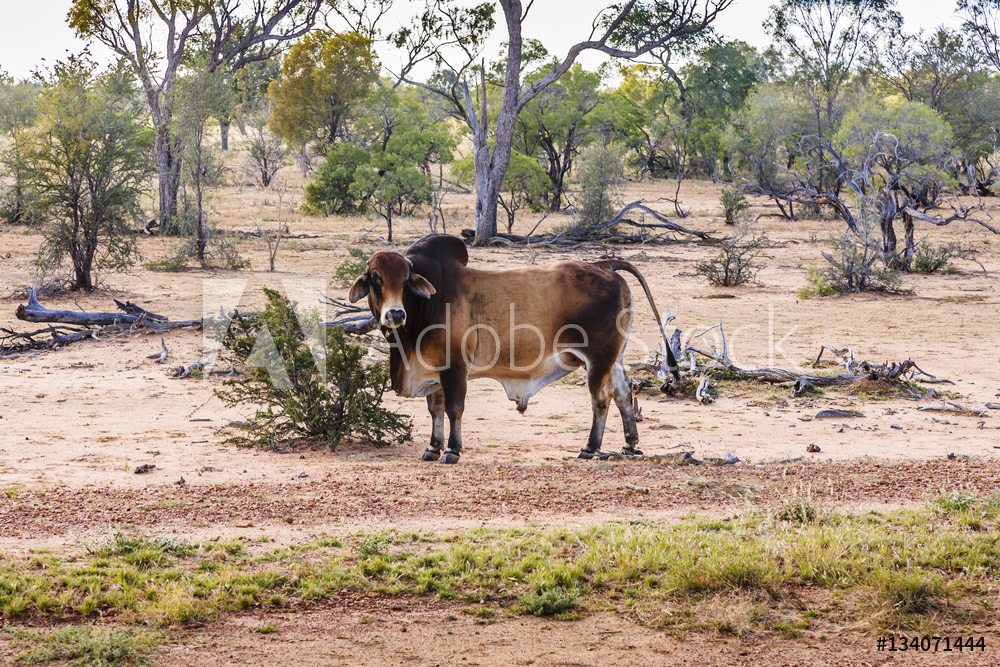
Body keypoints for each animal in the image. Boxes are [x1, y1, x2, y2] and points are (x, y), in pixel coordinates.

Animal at [349, 234, 680, 463]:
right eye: (376, 278)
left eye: (405, 280)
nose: (395, 313)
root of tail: (603, 265)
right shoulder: (434, 369)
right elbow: (436, 409)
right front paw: (433, 447)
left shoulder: (455, 368)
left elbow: (454, 409)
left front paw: (452, 450)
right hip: (614, 358)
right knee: (624, 392)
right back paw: (629, 444)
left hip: (597, 359)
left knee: (601, 398)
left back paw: (590, 448)